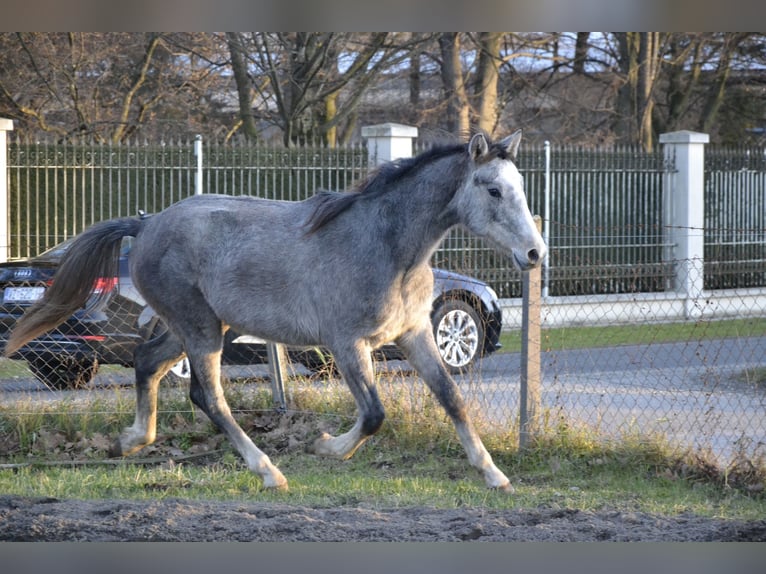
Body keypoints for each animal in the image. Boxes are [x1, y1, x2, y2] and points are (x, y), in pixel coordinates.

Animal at [6, 132, 544, 496]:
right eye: (492, 190)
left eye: (519, 185)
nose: (535, 253)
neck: (387, 246)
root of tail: (148, 224)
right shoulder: (347, 343)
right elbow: (373, 414)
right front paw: (325, 447)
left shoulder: (414, 335)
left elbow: (452, 398)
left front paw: (495, 474)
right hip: (201, 330)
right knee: (207, 395)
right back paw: (268, 471)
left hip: (199, 327)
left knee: (147, 362)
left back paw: (131, 441)